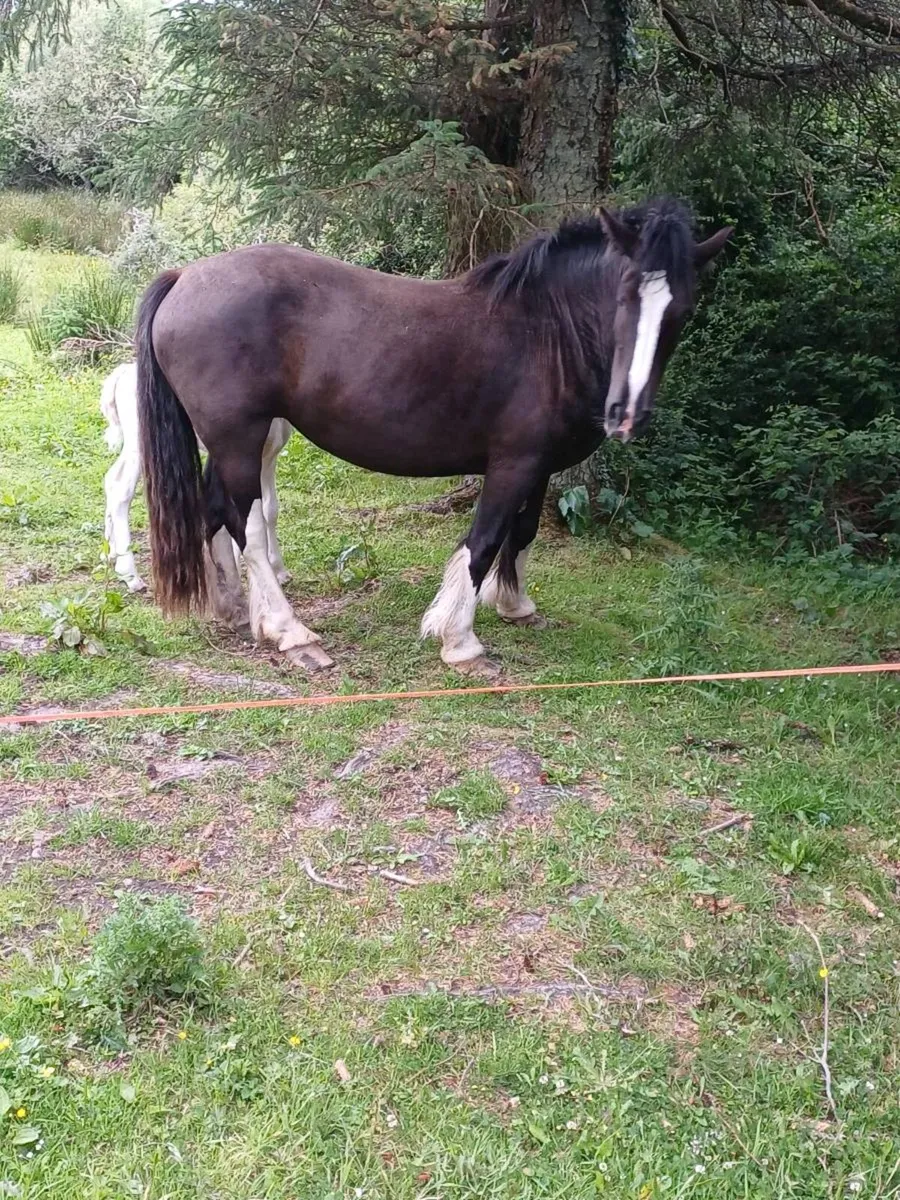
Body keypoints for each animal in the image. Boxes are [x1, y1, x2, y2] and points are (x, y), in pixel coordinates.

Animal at [100, 361, 293, 618]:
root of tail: (122, 374)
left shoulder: (269, 457)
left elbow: (270, 509)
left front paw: (278, 570)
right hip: (140, 444)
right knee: (121, 489)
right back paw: (130, 573)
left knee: (111, 479)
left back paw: (109, 552)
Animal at [135, 197, 731, 672]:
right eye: (624, 296)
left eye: (682, 310)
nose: (626, 415)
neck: (547, 331)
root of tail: (185, 277)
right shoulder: (512, 464)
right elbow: (485, 540)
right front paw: (459, 640)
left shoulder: (539, 466)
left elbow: (523, 533)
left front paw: (515, 605)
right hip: (239, 440)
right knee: (249, 527)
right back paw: (290, 631)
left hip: (232, 443)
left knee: (214, 510)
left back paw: (237, 610)